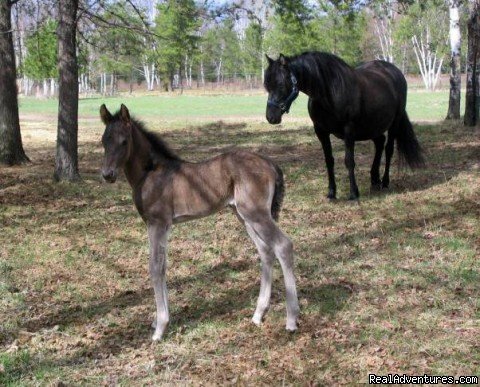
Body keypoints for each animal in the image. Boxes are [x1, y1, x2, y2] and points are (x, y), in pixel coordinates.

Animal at [264, 52, 426, 202]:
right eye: (267, 85)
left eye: (280, 84)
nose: (271, 117)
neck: (330, 91)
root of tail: (395, 72)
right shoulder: (321, 131)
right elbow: (329, 161)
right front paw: (331, 192)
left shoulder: (349, 131)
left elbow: (349, 161)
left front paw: (353, 193)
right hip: (373, 126)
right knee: (379, 143)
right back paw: (374, 180)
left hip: (394, 123)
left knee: (389, 150)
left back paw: (385, 182)